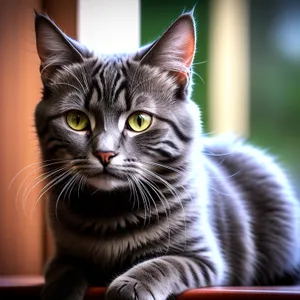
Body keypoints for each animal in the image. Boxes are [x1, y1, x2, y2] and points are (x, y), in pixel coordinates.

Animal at [32, 9, 300, 300]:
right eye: (76, 120)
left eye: (139, 121)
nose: (105, 153)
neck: (110, 213)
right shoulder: (63, 256)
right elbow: (63, 272)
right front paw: (58, 291)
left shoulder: (202, 257)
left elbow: (163, 264)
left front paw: (130, 286)